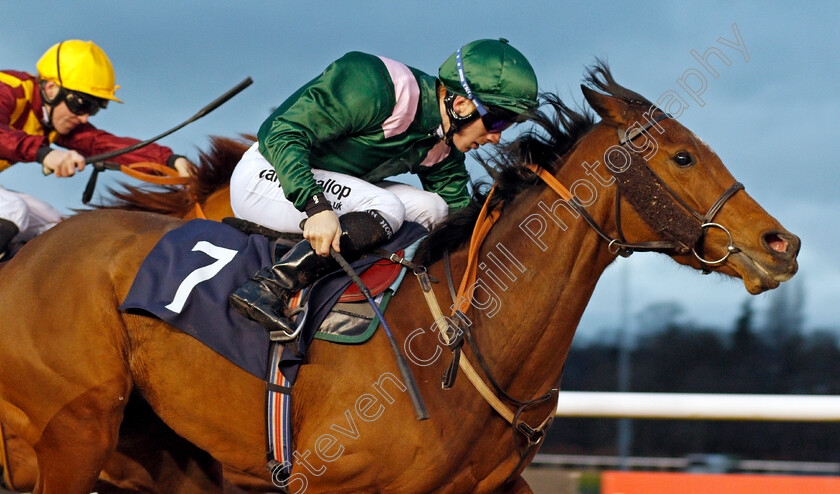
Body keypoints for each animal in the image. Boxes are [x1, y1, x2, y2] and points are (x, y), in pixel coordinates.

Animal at [0, 65, 800, 494]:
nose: (782, 244)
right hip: (75, 434)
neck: (465, 342)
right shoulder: (321, 479)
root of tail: (32, 255)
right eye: (682, 156)